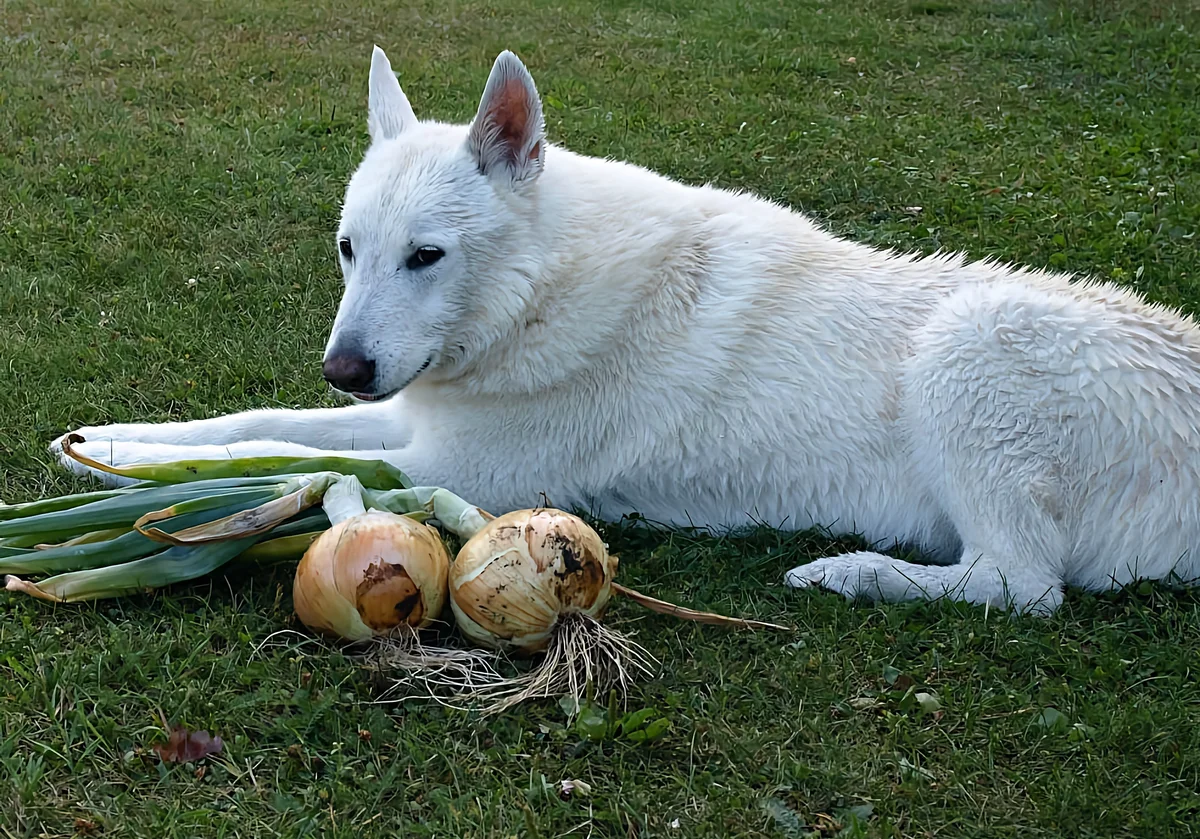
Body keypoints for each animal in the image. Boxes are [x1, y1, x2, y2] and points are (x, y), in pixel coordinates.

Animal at [51, 45, 1200, 619]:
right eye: (348, 250)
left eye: (426, 255)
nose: (345, 364)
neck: (538, 295)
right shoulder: (414, 424)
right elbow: (250, 425)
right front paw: (109, 446)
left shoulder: (454, 463)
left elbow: (279, 454)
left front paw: (126, 474)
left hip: (969, 344)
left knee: (1025, 588)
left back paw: (851, 573)